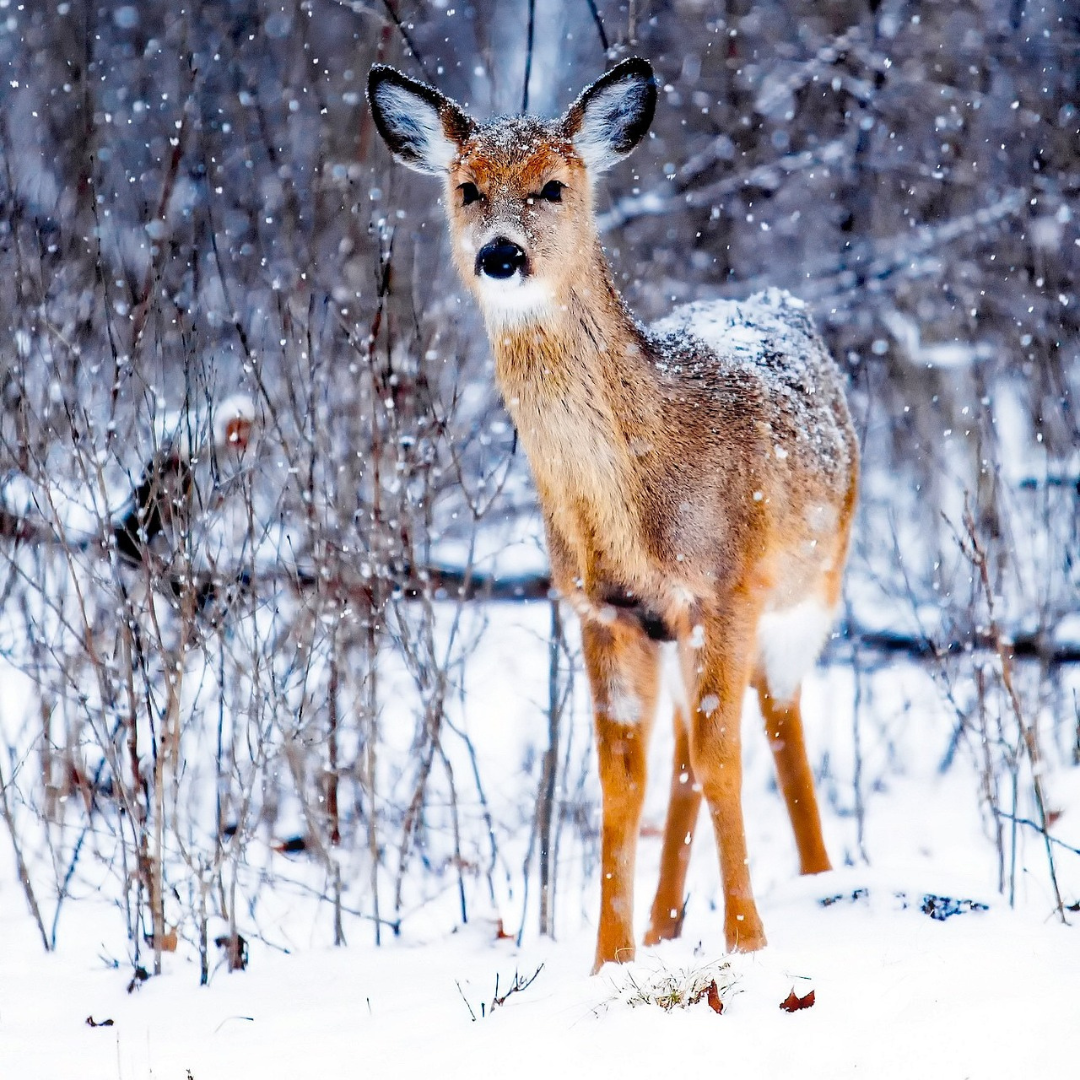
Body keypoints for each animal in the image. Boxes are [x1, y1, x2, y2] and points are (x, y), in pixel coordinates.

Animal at [367, 57, 859, 973]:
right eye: (467, 187)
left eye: (554, 186)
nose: (500, 253)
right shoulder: (603, 610)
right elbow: (622, 781)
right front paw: (610, 959)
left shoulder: (727, 587)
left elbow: (726, 760)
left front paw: (749, 943)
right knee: (685, 755)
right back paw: (667, 922)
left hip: (813, 586)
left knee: (778, 722)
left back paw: (819, 878)